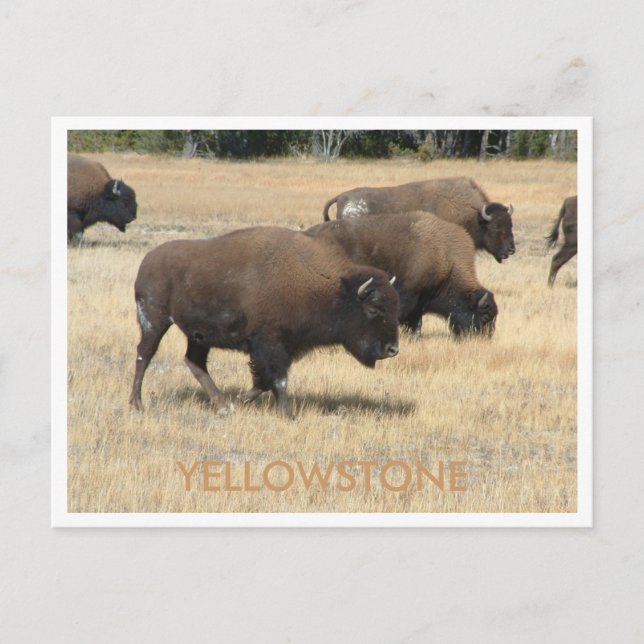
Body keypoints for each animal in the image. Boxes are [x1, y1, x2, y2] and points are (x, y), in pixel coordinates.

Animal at [129, 226, 400, 418]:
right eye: (373, 309)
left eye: (396, 307)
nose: (392, 349)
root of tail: (147, 260)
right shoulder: (270, 345)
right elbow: (278, 380)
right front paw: (289, 415)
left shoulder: (283, 348)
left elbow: (264, 382)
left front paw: (239, 401)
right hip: (154, 321)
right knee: (144, 354)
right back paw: (137, 404)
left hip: (198, 336)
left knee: (194, 362)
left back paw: (223, 406)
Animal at [306, 212, 498, 338]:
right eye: (486, 316)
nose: (486, 338)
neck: (445, 257)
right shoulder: (409, 295)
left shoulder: (420, 301)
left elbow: (416, 322)